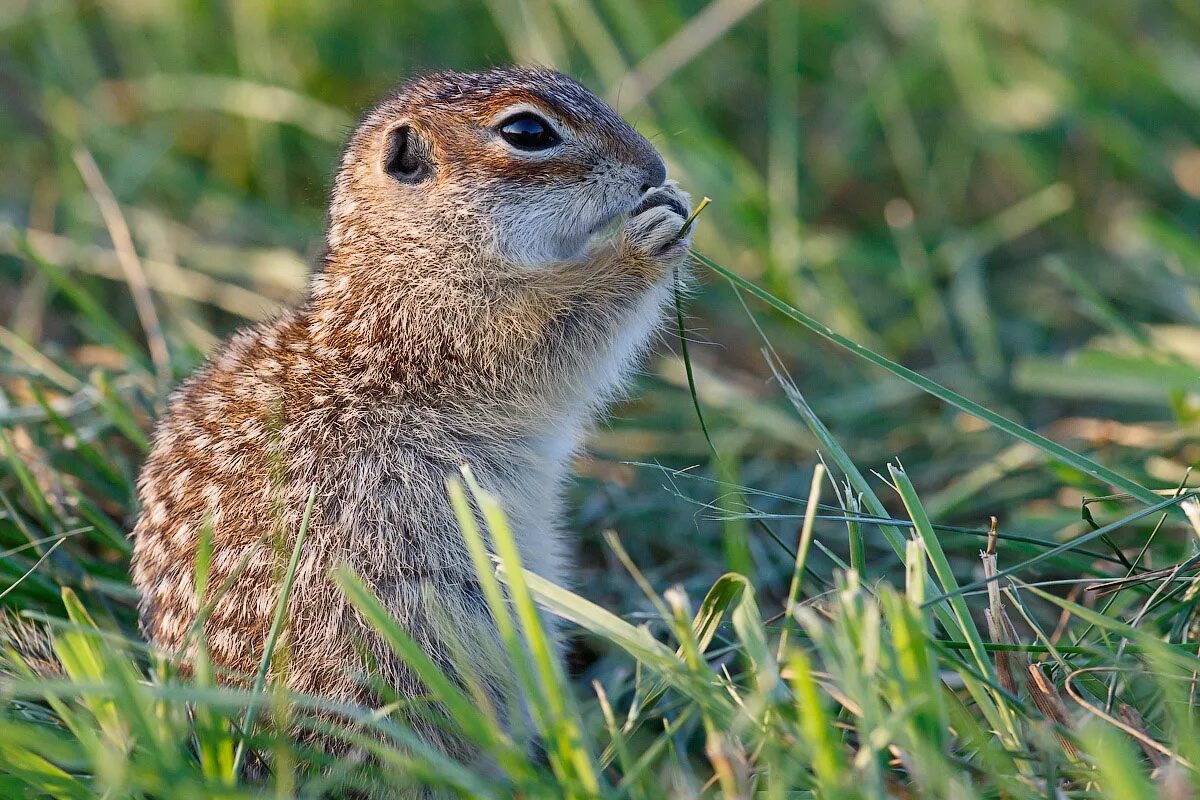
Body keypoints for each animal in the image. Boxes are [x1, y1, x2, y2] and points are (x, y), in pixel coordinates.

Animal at [129, 67, 696, 758]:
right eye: (527, 131)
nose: (654, 166)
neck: (409, 258)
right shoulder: (463, 330)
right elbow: (564, 324)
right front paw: (644, 240)